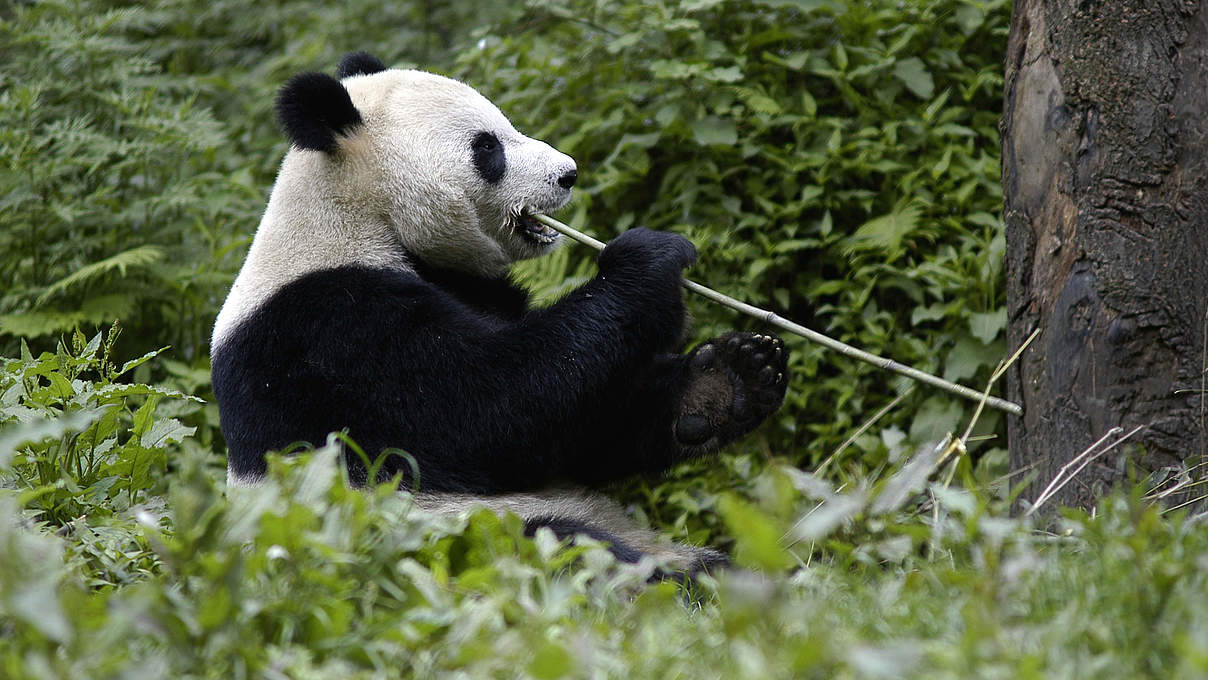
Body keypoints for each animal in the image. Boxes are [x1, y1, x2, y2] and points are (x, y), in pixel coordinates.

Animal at [211, 53, 787, 574]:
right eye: (487, 146)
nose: (568, 174)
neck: (360, 217)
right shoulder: (328, 331)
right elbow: (487, 409)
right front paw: (649, 260)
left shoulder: (476, 288)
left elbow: (581, 430)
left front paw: (731, 378)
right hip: (447, 535)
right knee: (564, 550)